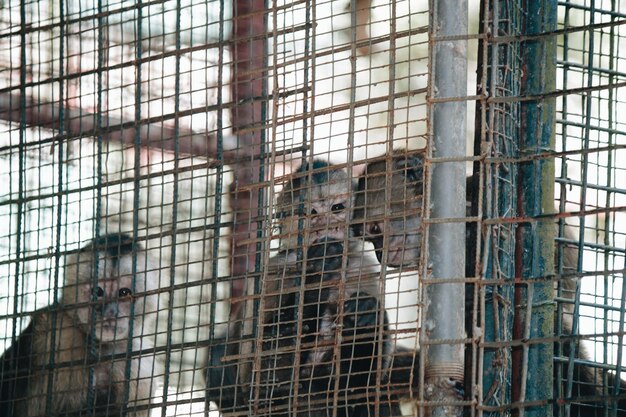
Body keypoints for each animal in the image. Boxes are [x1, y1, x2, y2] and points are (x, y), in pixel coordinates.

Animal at [0, 234, 161, 416]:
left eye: (124, 293)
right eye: (97, 292)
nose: (109, 312)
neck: (99, 348)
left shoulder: (140, 368)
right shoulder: (51, 330)